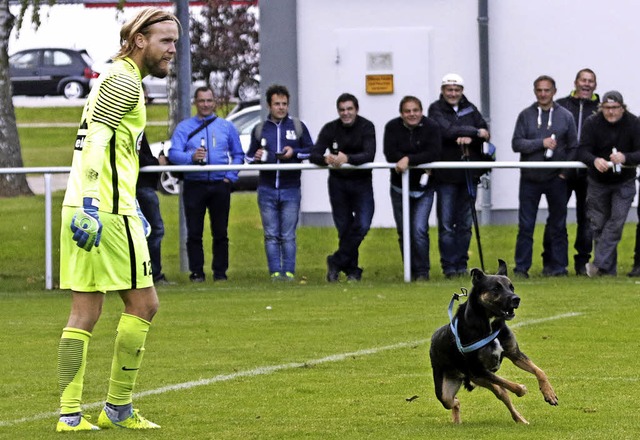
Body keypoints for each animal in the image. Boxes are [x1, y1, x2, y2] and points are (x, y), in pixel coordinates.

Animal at [428, 260, 556, 424]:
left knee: (499, 394)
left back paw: (520, 419)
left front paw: (549, 393)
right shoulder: (479, 369)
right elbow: (510, 384)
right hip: (448, 390)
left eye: (511, 287)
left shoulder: (514, 354)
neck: (489, 325)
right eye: (496, 288)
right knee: (455, 400)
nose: (516, 299)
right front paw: (521, 389)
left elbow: (539, 371)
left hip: (479, 380)